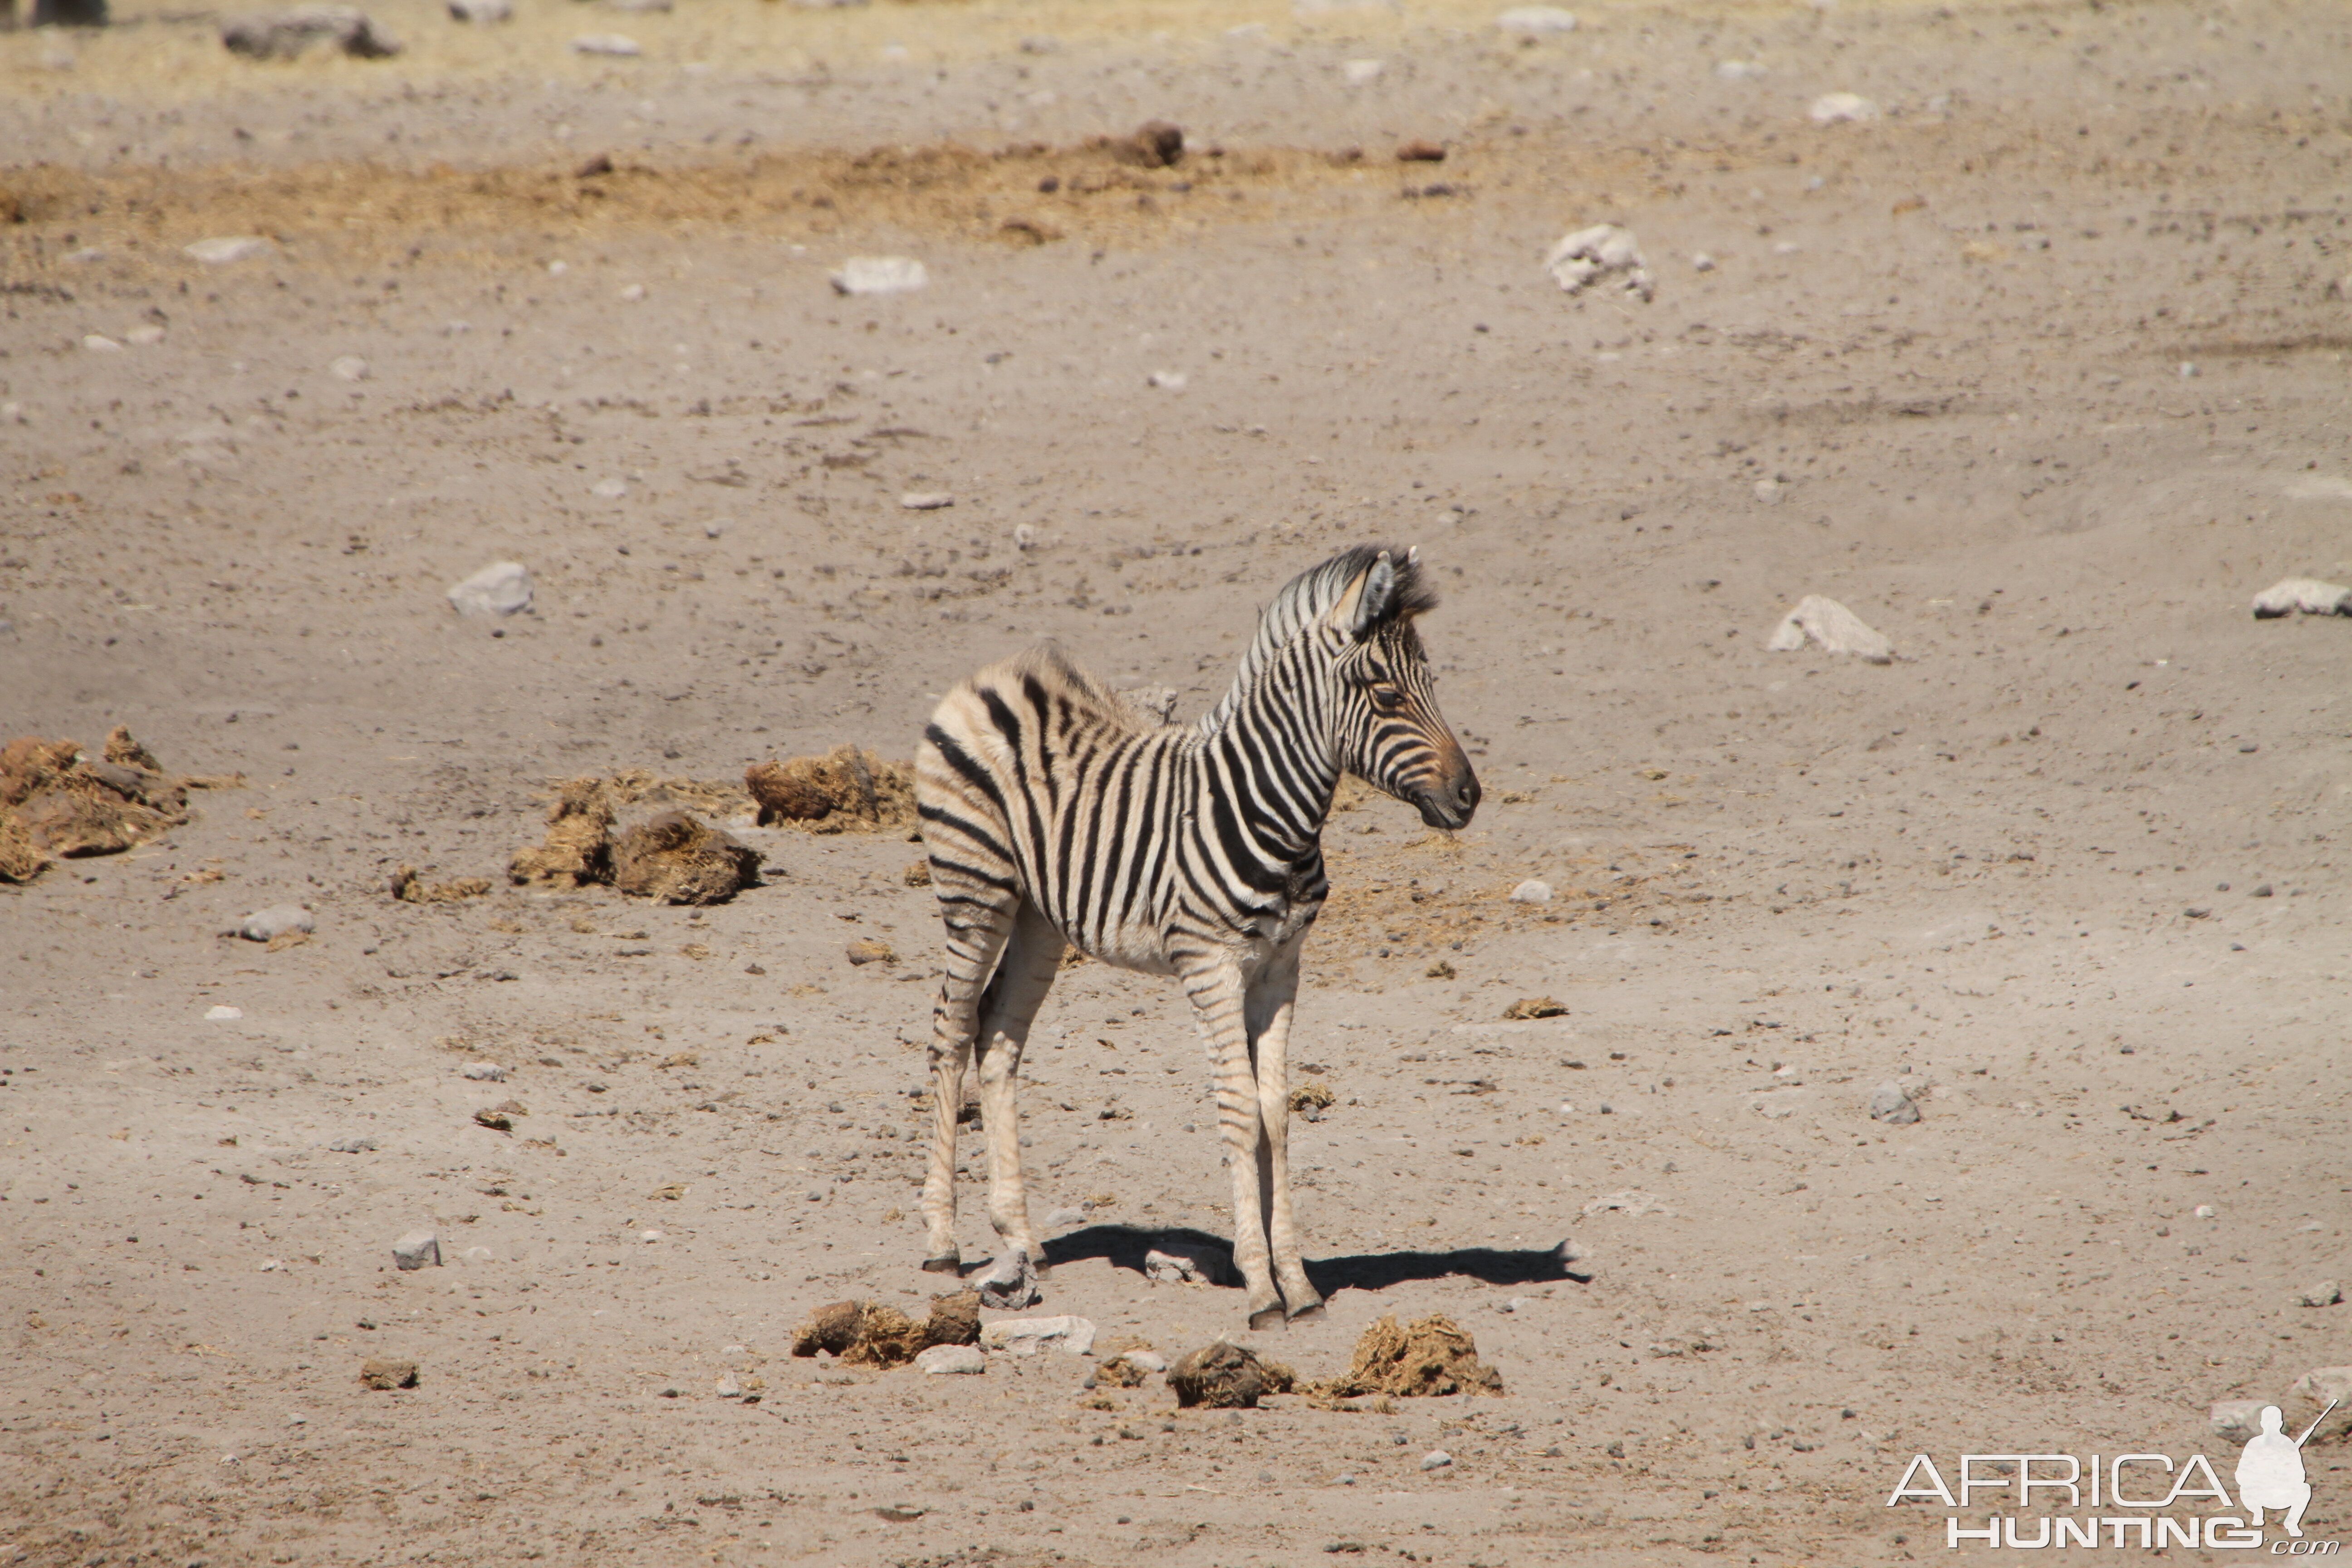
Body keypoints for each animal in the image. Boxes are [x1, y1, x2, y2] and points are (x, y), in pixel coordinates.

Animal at [912, 545, 1477, 1335]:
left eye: (1432, 686)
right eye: (1389, 695)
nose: (1469, 797)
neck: (1273, 813)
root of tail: (992, 676)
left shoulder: (1281, 966)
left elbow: (1275, 1113)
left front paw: (1298, 1283)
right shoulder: (1210, 964)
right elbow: (1238, 1109)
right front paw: (1262, 1289)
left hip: (1038, 918)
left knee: (996, 1038)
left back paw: (1021, 1239)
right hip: (975, 890)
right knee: (951, 1030)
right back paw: (940, 1240)